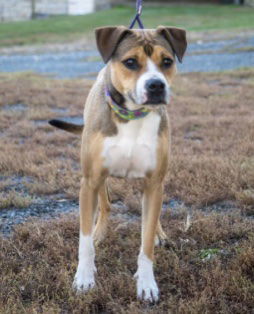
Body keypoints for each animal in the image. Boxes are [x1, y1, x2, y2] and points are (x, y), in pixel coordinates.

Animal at [49, 26, 186, 302]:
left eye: (167, 61)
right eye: (130, 62)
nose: (156, 85)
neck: (132, 115)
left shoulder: (154, 183)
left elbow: (146, 241)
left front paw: (146, 282)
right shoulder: (90, 181)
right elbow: (84, 240)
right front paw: (84, 277)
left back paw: (159, 233)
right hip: (98, 179)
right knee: (106, 204)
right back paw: (100, 232)